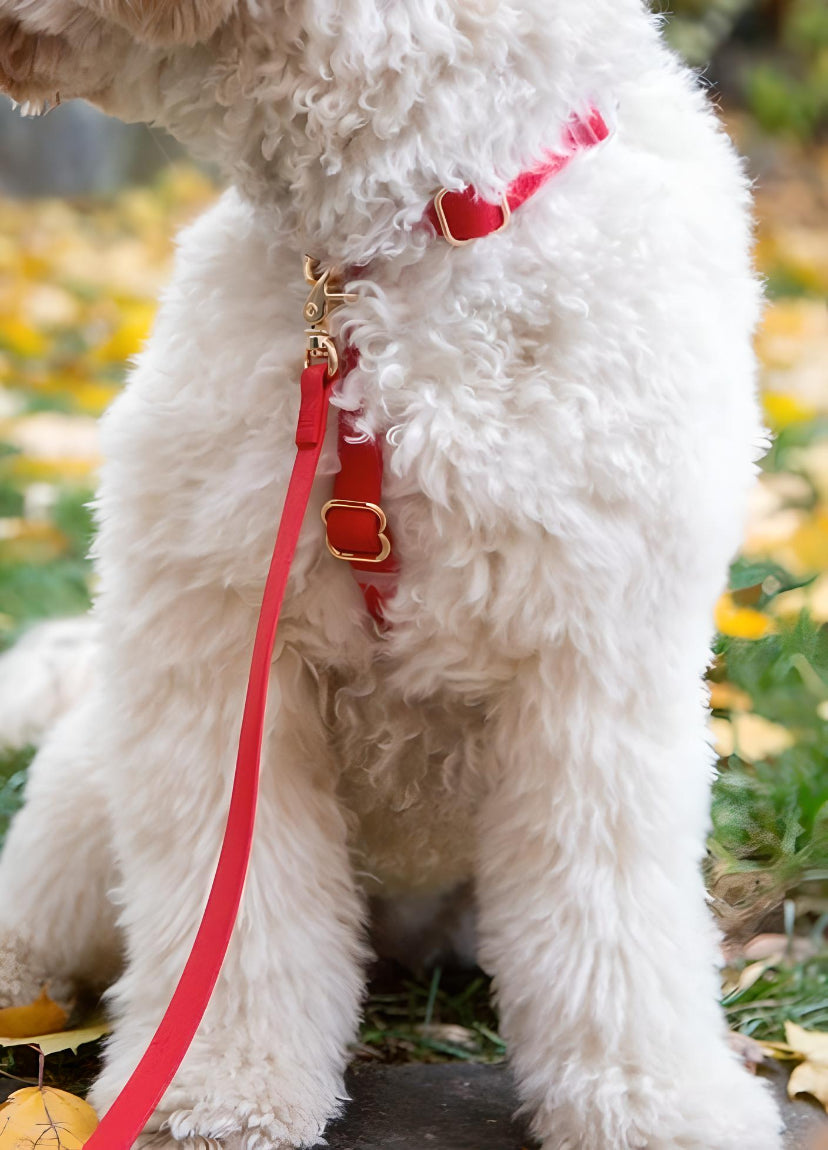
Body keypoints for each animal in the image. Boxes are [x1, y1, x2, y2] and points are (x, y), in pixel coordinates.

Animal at [0, 2, 782, 1150]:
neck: (403, 242)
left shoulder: (599, 664)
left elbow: (612, 915)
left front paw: (653, 1101)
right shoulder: (217, 650)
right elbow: (233, 916)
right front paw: (217, 1090)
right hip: (87, 785)